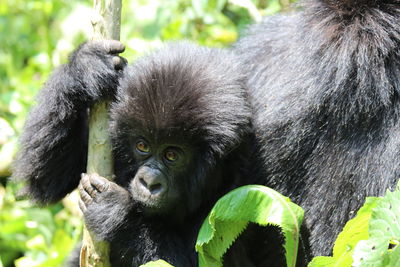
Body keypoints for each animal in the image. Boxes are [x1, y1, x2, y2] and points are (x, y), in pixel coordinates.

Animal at [14, 40, 252, 266]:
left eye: (172, 155)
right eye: (142, 146)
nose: (149, 182)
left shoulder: (242, 191)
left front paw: (116, 212)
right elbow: (46, 180)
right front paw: (85, 65)